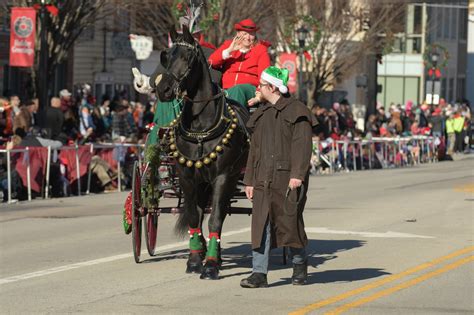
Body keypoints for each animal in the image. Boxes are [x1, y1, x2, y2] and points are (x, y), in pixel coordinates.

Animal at [155, 26, 252, 278]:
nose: (163, 89)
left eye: (187, 57)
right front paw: (195, 260)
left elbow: (215, 219)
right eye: (166, 56)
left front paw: (210, 265)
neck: (201, 129)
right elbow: (194, 217)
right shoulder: (188, 178)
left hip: (233, 176)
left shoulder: (223, 176)